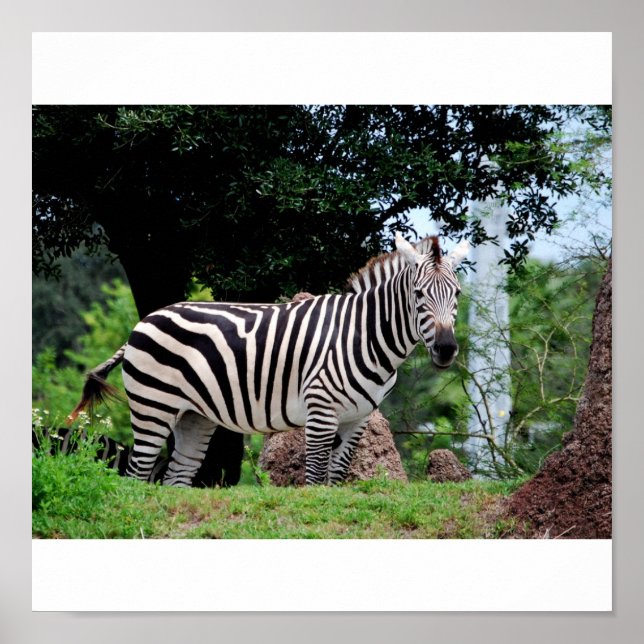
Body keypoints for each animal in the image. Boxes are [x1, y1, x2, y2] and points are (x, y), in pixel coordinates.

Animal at [68, 233, 470, 486]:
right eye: (418, 294)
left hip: (193, 416)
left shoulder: (357, 419)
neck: (365, 336)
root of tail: (145, 320)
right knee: (137, 475)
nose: (446, 348)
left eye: (458, 294)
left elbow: (337, 479)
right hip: (153, 406)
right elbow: (315, 480)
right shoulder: (320, 411)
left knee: (176, 478)